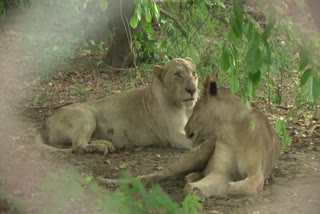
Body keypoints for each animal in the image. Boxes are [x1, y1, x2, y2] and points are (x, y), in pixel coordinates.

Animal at [36, 56, 199, 154]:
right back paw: (100, 147)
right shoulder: (175, 134)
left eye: (194, 74)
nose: (193, 90)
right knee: (78, 145)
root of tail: (46, 122)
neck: (185, 108)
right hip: (86, 116)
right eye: (178, 75)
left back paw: (106, 143)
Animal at [138, 75, 280, 199]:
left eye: (194, 111)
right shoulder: (221, 172)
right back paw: (142, 179)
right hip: (197, 155)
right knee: (166, 171)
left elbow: (249, 186)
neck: (231, 133)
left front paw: (223, 189)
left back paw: (192, 176)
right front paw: (196, 189)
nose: (185, 128)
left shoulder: (257, 173)